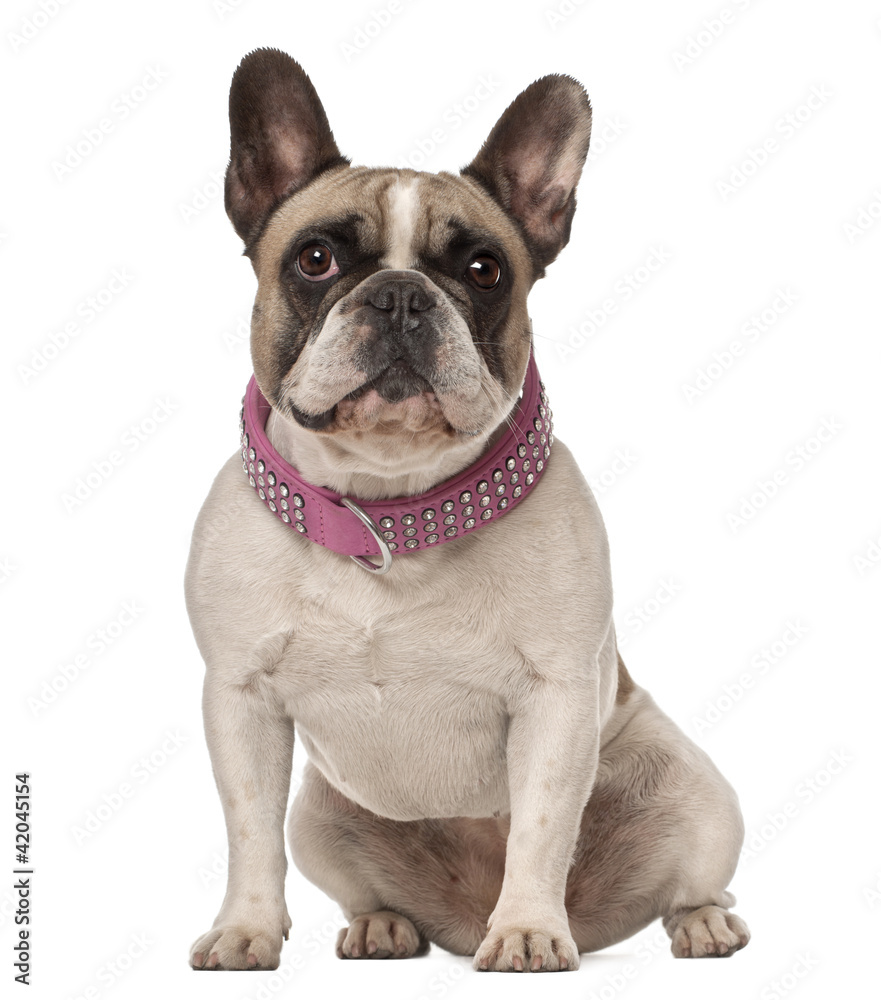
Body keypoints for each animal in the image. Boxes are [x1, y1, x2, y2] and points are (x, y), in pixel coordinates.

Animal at [187, 50, 748, 972]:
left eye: (485, 271)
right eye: (314, 259)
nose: (400, 296)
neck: (392, 511)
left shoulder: (557, 699)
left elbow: (543, 825)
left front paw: (526, 930)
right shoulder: (241, 701)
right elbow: (246, 830)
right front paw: (245, 929)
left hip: (693, 792)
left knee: (693, 877)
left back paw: (697, 923)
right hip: (321, 816)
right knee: (338, 868)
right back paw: (381, 924)